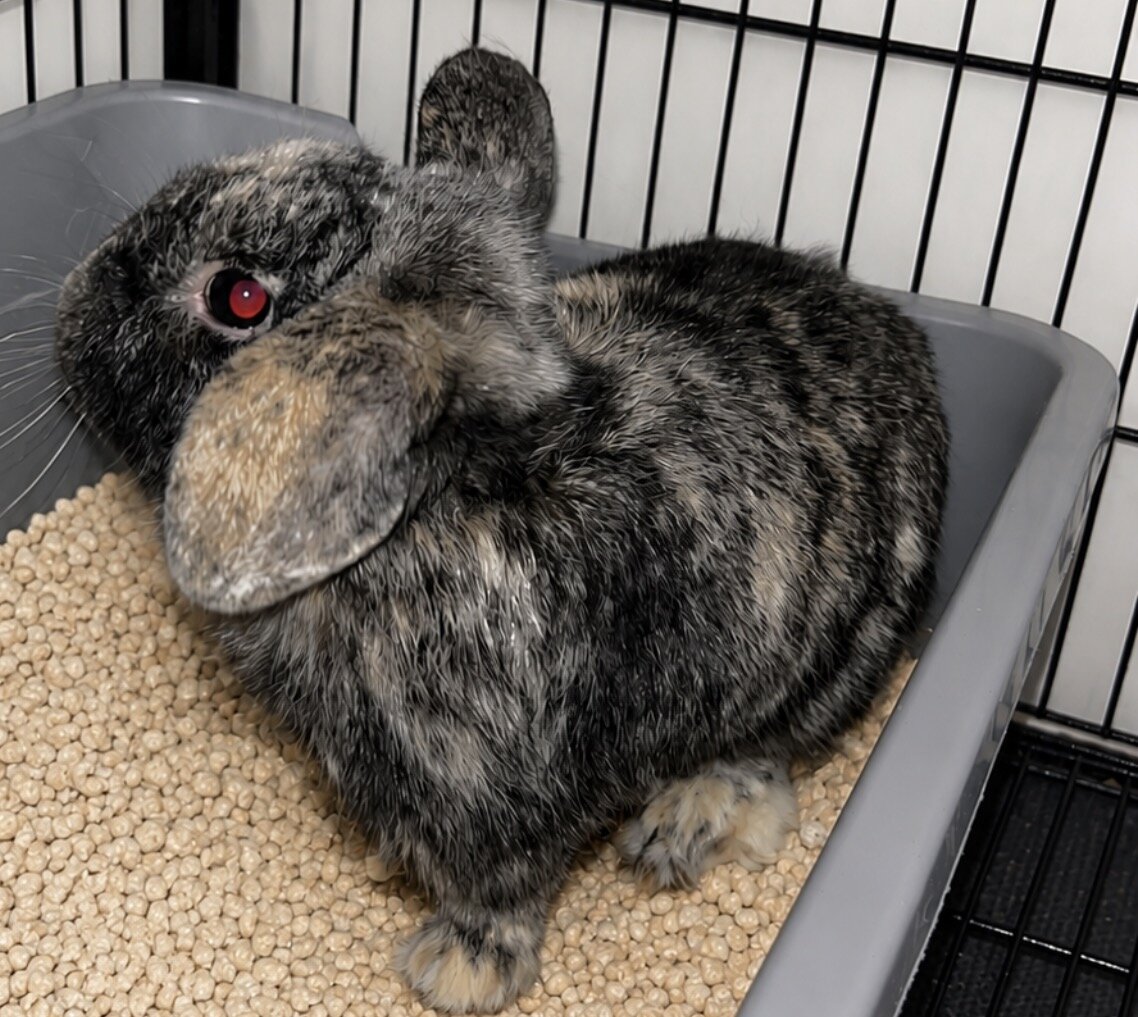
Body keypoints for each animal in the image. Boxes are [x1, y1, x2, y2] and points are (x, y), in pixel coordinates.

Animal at [54, 47, 949, 1014]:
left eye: (239, 296)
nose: (75, 295)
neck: (438, 499)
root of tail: (913, 355)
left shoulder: (493, 800)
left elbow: (503, 889)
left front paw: (455, 971)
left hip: (822, 673)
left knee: (766, 760)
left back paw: (679, 825)